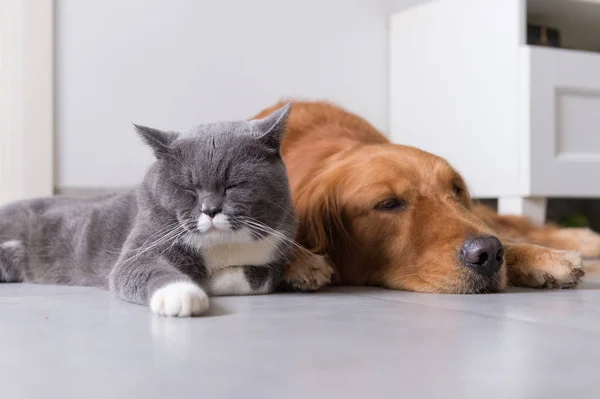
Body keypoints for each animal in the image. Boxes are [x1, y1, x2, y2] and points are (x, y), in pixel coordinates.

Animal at [0, 104, 296, 318]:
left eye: (233, 185)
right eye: (188, 187)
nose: (210, 210)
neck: (220, 247)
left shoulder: (279, 247)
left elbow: (265, 277)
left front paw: (210, 280)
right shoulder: (141, 246)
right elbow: (142, 269)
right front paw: (184, 293)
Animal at [254, 101, 600, 294]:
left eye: (456, 189)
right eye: (388, 204)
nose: (488, 254)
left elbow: (506, 237)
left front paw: (546, 258)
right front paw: (298, 261)